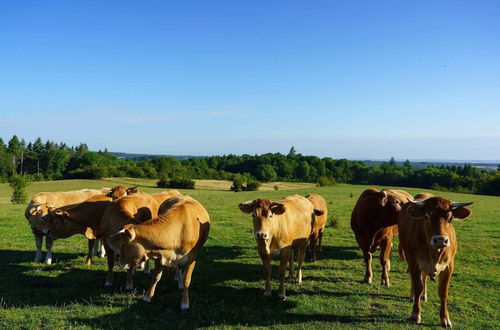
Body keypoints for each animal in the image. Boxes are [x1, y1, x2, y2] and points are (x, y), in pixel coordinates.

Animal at [398, 196, 472, 328]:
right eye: (427, 217)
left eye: (450, 218)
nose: (440, 240)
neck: (435, 253)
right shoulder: (414, 263)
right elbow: (418, 287)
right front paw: (415, 314)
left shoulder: (449, 267)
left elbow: (443, 292)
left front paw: (445, 319)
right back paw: (413, 296)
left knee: (424, 278)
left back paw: (424, 295)